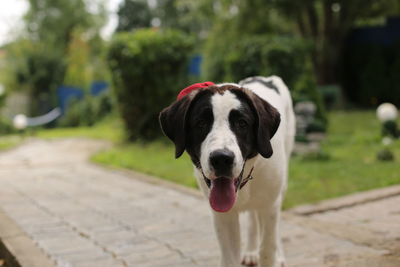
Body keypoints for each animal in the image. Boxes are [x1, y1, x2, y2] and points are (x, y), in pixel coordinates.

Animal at [160, 76, 296, 267]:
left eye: (242, 123)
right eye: (201, 123)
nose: (221, 158)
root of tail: (268, 78)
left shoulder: (270, 204)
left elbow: (267, 250)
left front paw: (272, 256)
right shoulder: (223, 216)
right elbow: (230, 258)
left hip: (280, 187)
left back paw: (279, 255)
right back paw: (251, 251)